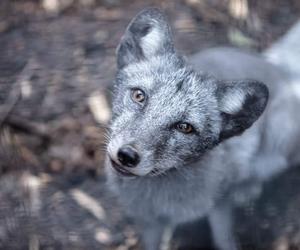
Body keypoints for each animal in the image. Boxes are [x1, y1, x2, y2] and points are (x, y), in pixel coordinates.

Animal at [105, 7, 300, 250]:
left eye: (185, 127)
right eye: (139, 96)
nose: (127, 155)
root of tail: (277, 67)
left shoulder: (220, 205)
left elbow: (224, 239)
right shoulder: (149, 223)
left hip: (277, 143)